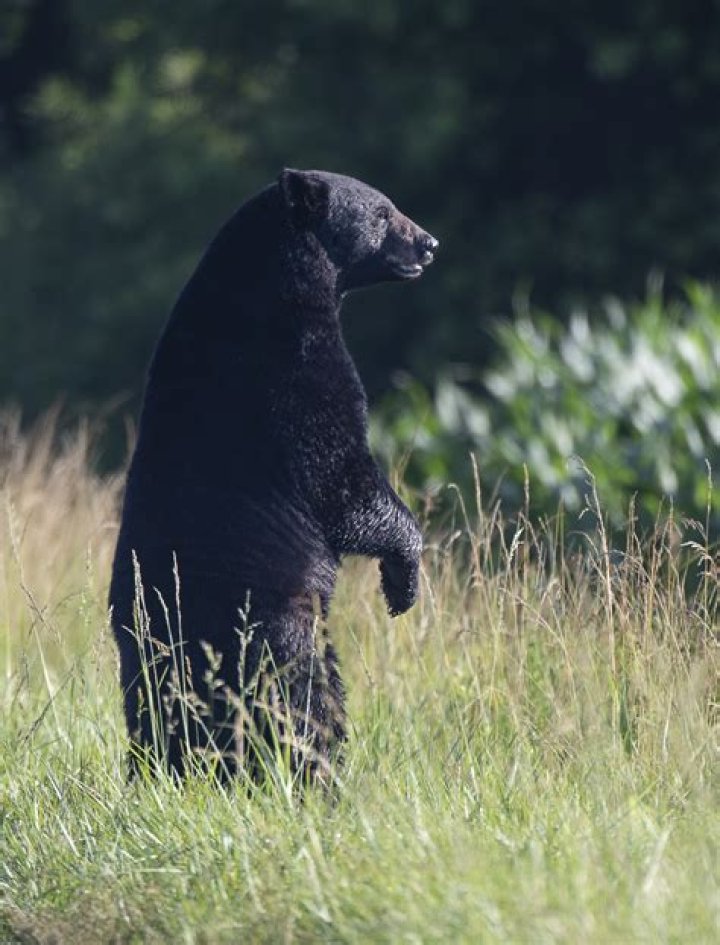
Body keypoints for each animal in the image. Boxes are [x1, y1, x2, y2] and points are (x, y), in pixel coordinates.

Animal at [109, 168, 438, 782]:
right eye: (383, 212)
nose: (429, 243)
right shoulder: (297, 368)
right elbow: (341, 478)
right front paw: (402, 581)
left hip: (148, 647)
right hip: (273, 620)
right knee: (303, 698)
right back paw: (316, 774)